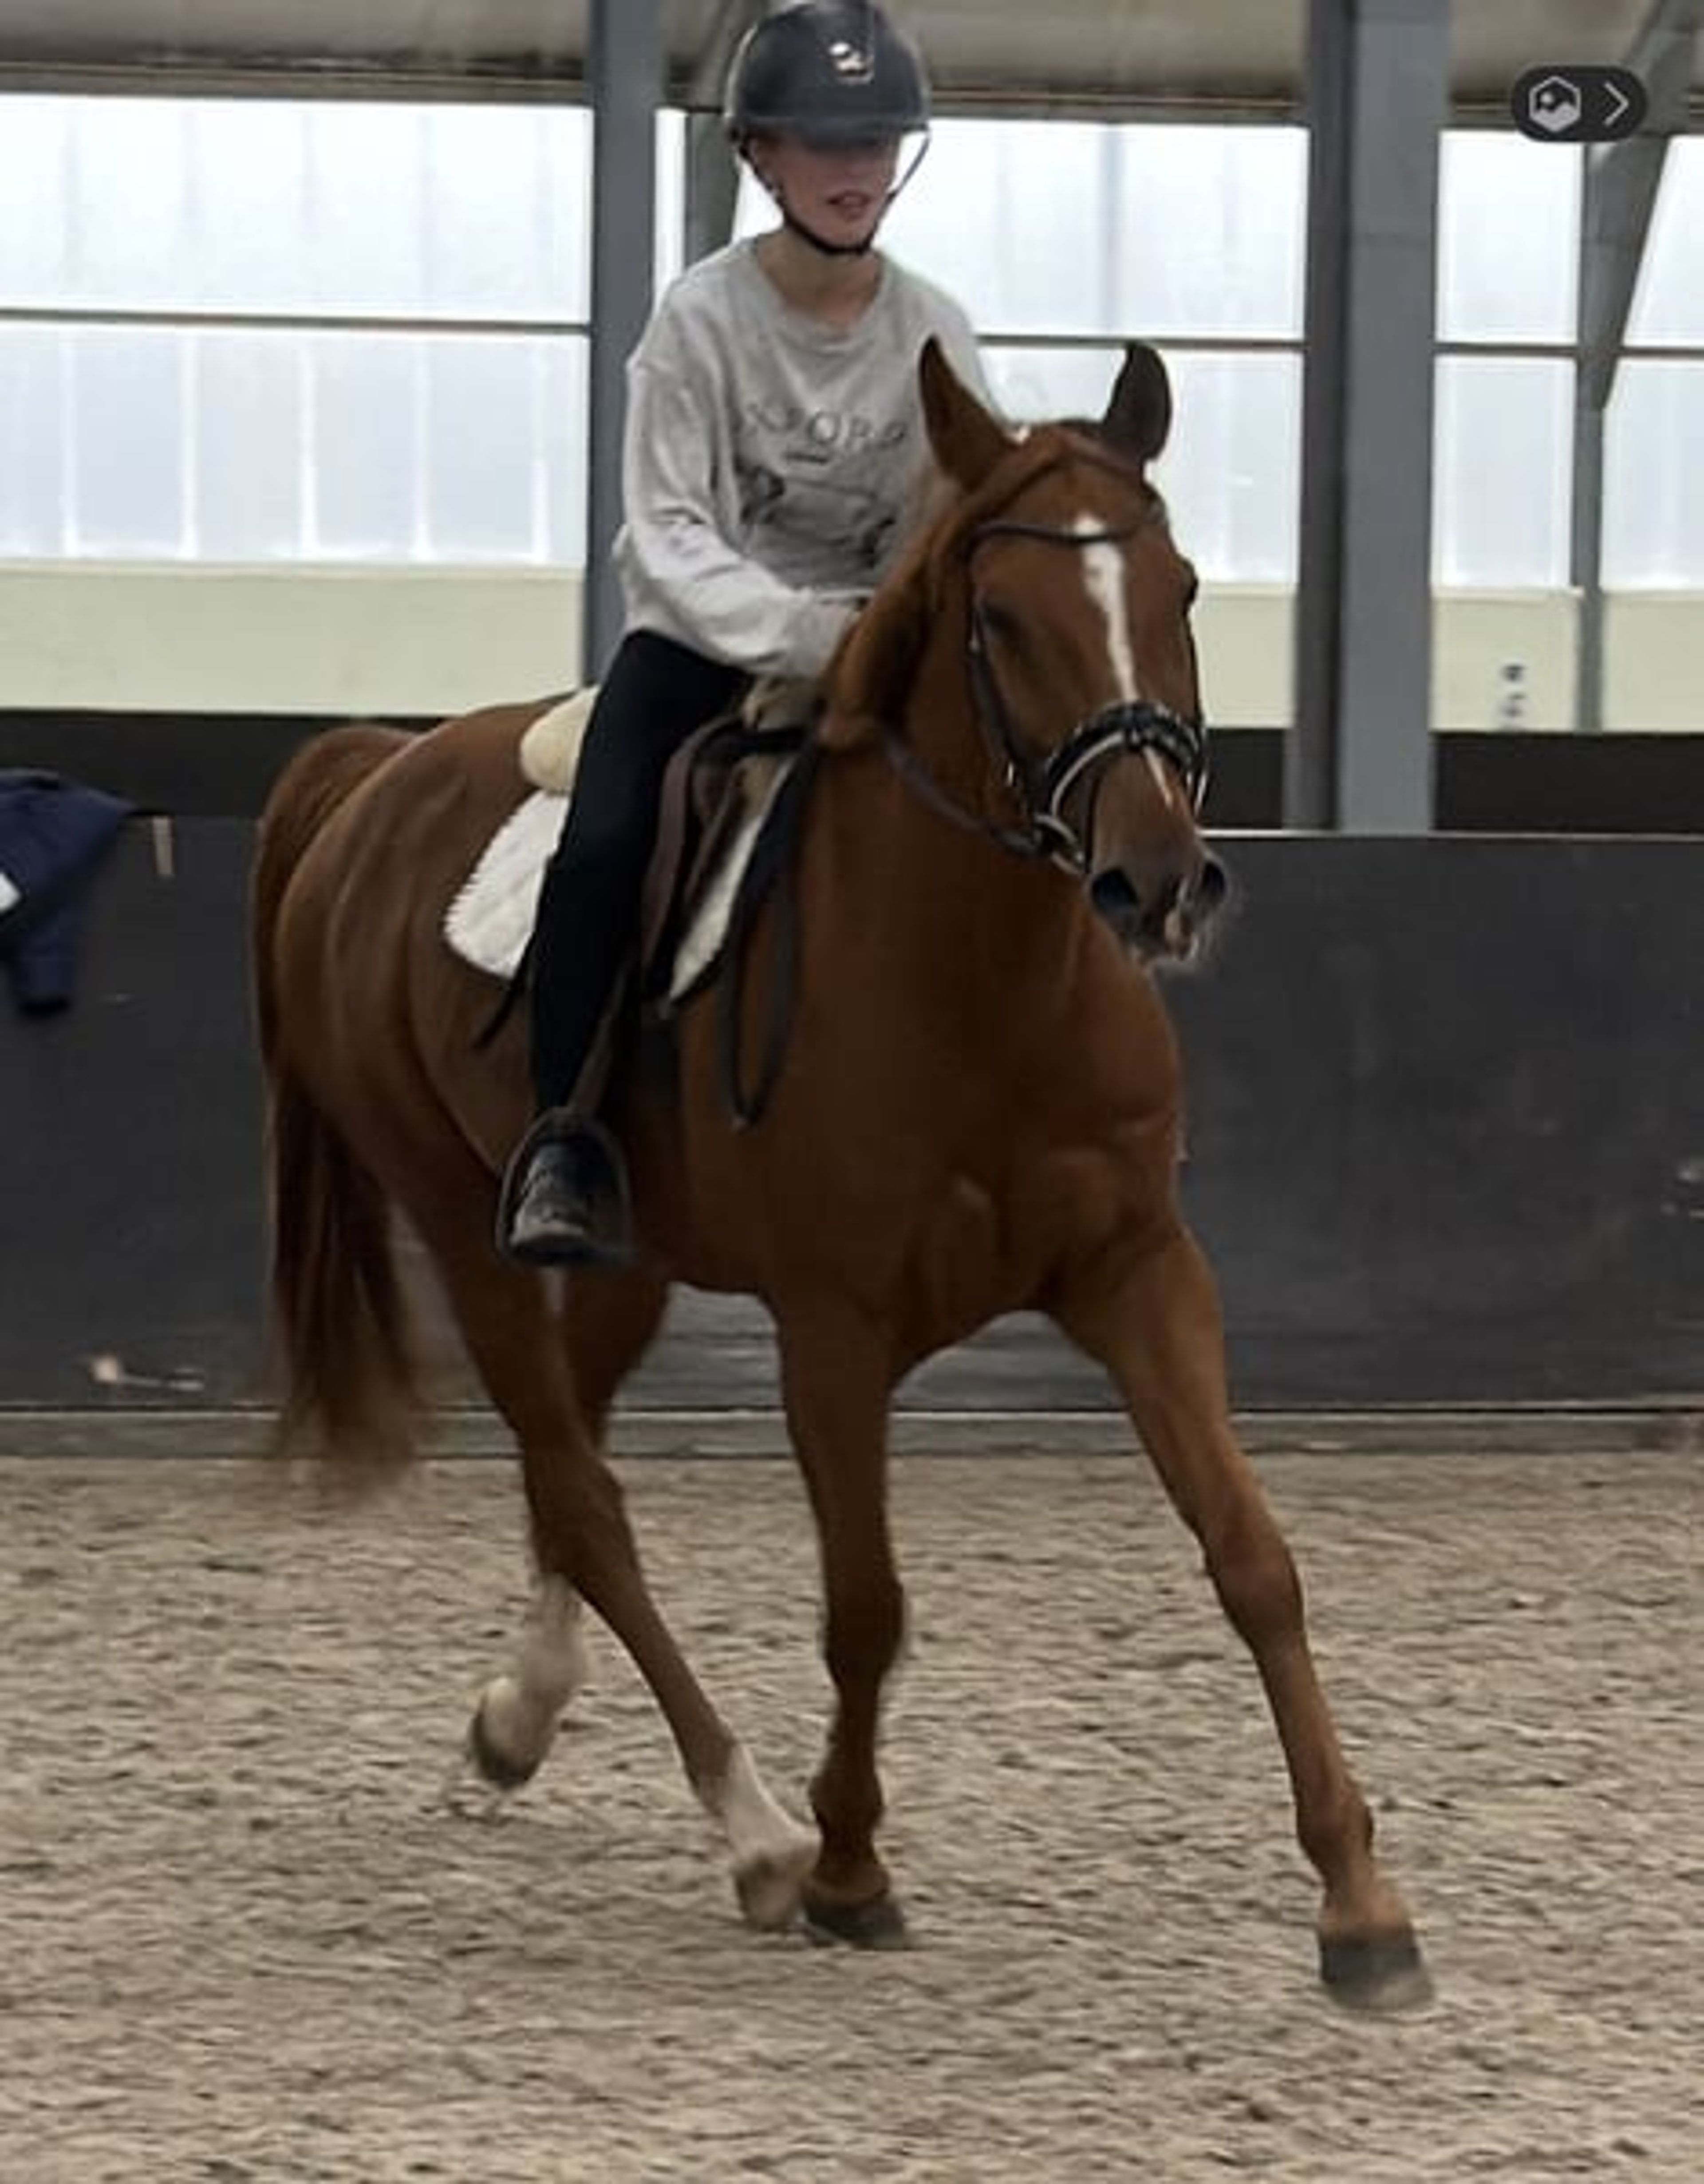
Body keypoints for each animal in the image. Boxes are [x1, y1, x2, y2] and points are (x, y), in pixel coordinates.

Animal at [251, 337, 1429, 2010]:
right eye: (1004, 620)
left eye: (1184, 586)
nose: (1156, 879)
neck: (982, 980)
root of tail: (379, 772)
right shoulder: (832, 1330)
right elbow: (866, 1609)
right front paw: (850, 1867)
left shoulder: (1140, 1270)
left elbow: (1254, 1559)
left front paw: (1361, 1908)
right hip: (464, 1230)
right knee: (584, 1499)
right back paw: (751, 1833)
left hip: (625, 1260)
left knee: (570, 1471)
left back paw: (518, 1720)